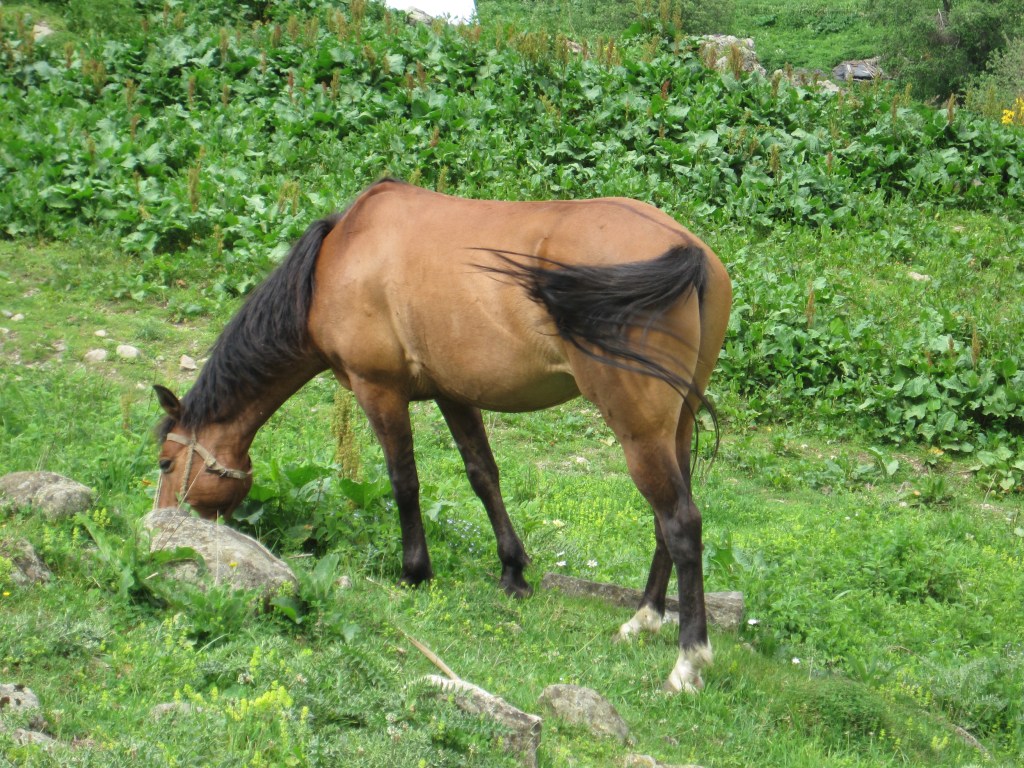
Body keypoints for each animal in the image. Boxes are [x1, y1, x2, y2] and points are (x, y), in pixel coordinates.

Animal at [153, 178, 731, 693]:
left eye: (164, 462)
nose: (160, 528)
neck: (340, 257)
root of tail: (691, 253)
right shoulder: (454, 393)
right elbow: (483, 476)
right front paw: (513, 571)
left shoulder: (378, 390)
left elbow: (404, 480)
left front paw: (415, 571)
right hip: (672, 428)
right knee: (665, 521)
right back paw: (644, 618)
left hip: (638, 431)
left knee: (680, 522)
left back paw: (688, 660)